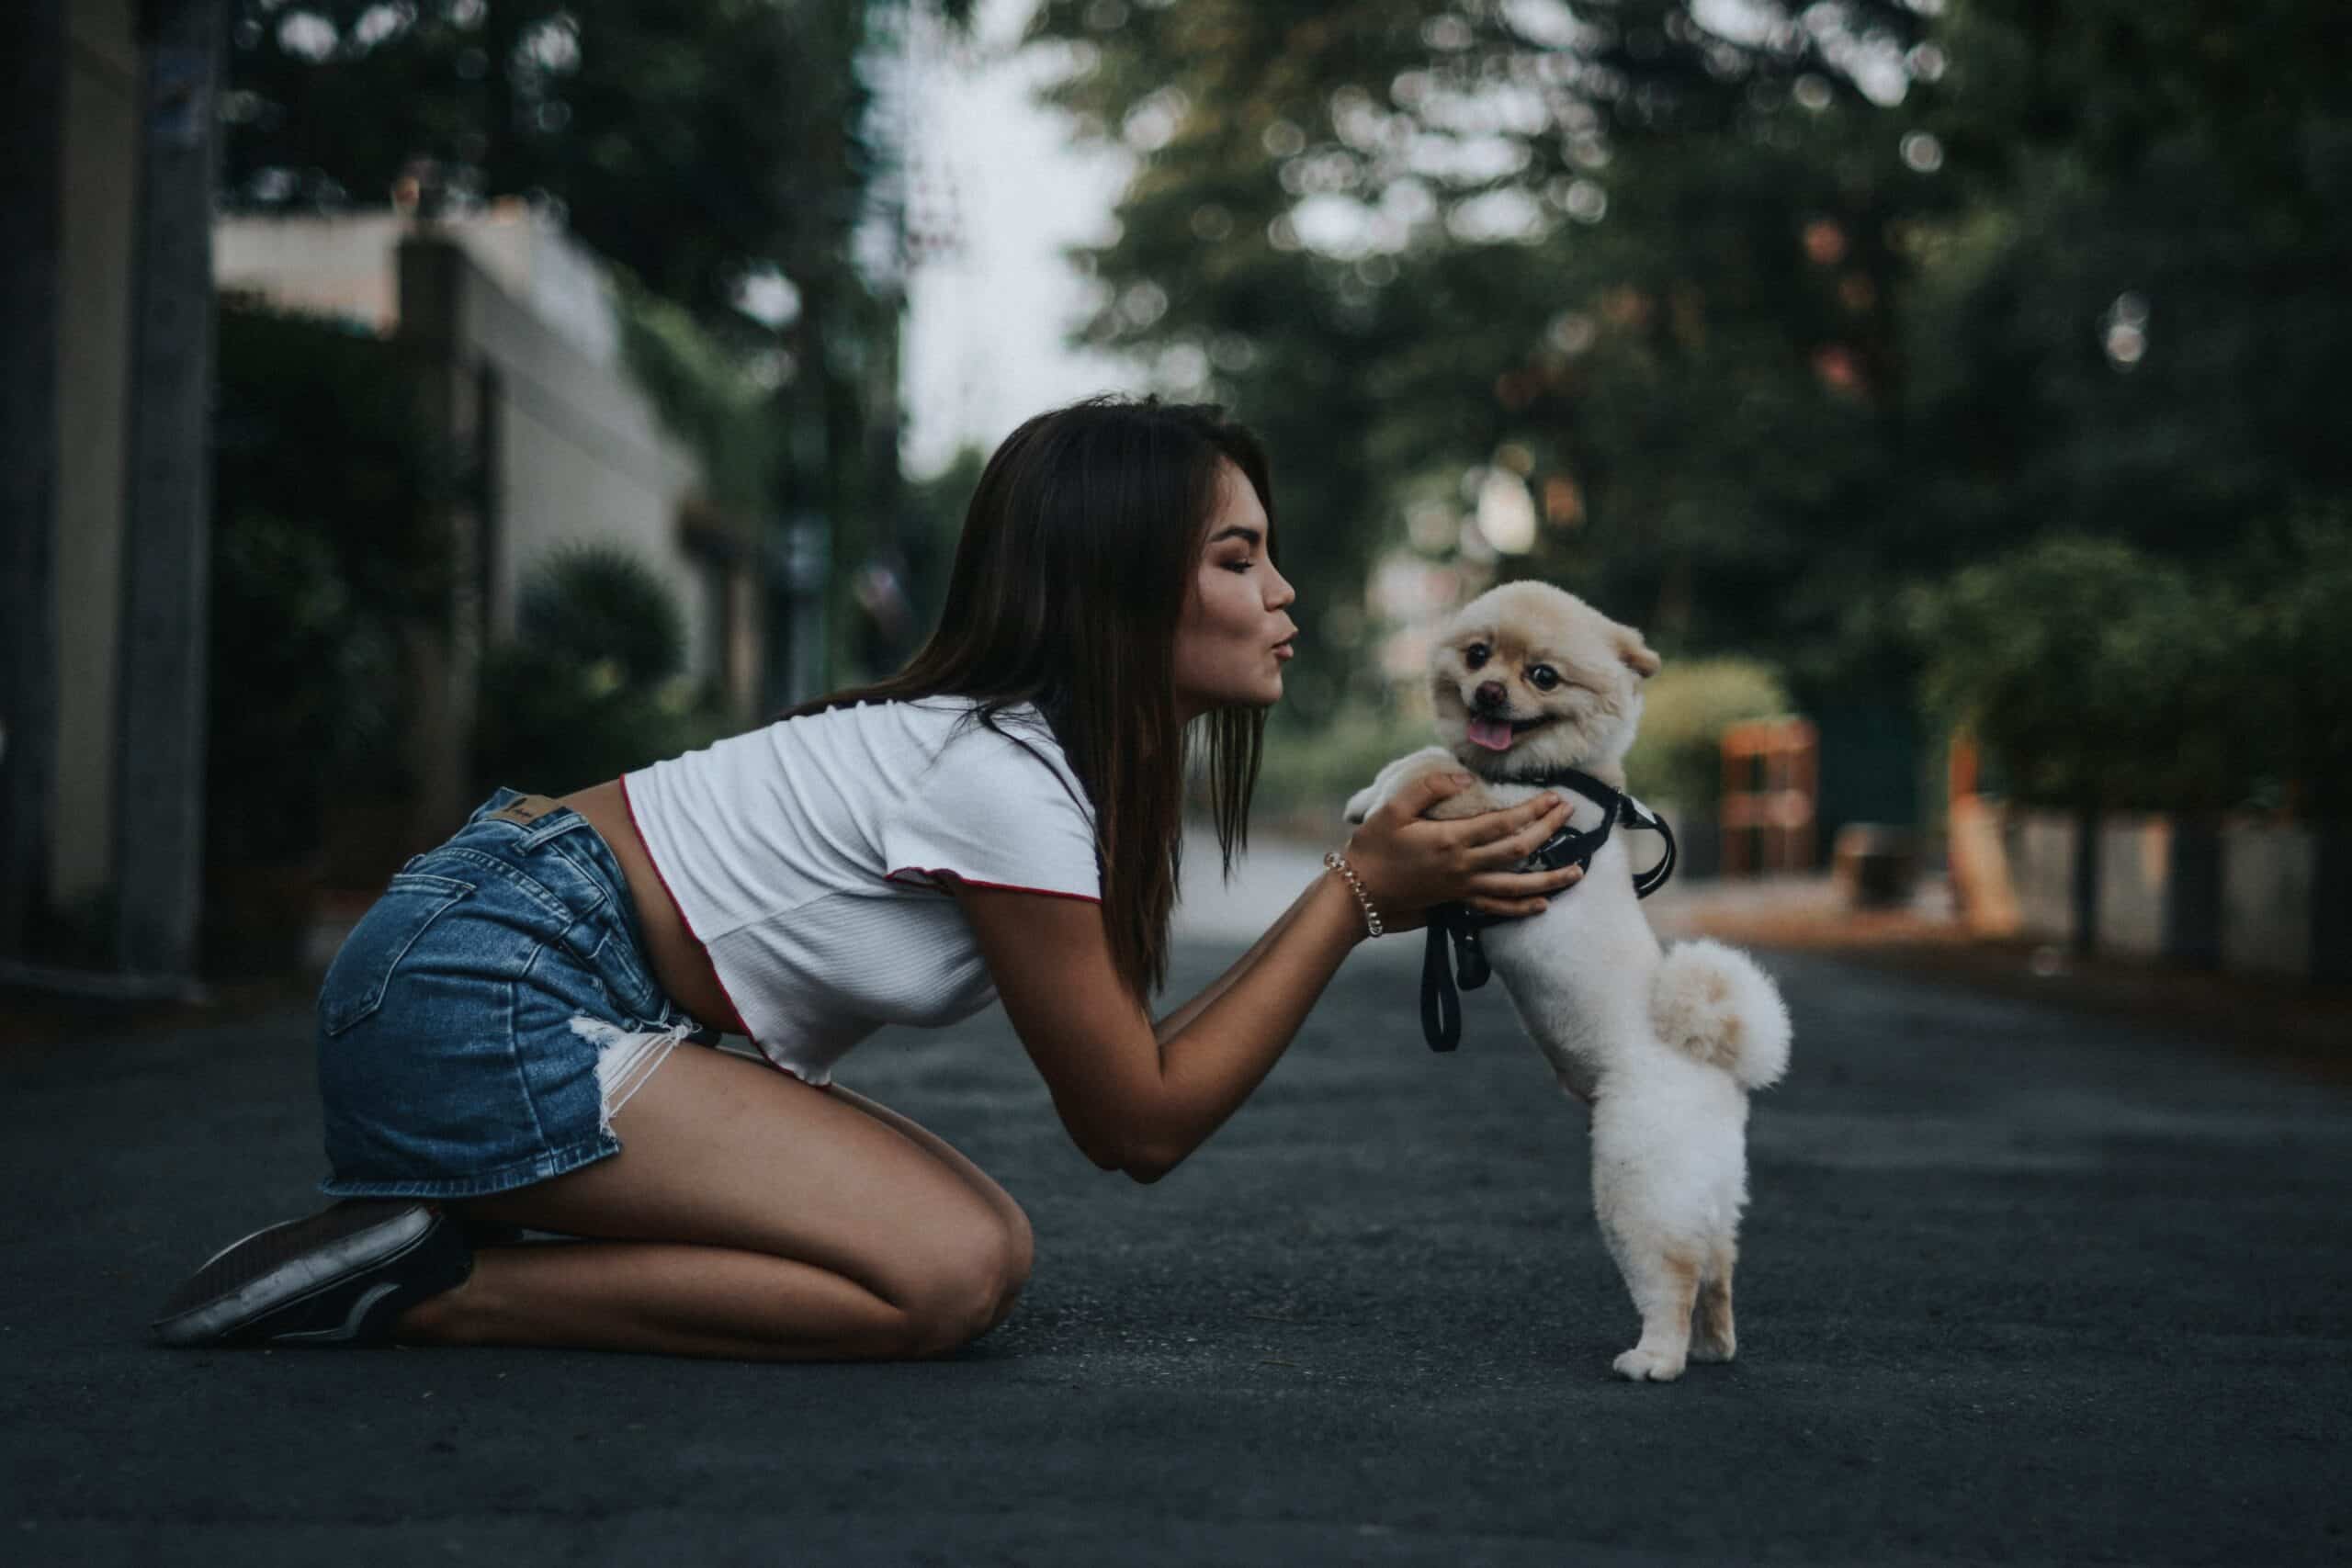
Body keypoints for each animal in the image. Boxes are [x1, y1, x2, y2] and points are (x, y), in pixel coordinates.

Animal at [1354, 582, 1787, 1382]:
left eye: (1544, 677)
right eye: (1478, 654)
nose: (1491, 692)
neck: (1550, 772)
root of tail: (1713, 1064)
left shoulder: (1513, 818)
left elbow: (1439, 765)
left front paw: (1378, 796)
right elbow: (1430, 756)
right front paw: (1374, 788)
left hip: (1635, 1185)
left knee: (1673, 1273)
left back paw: (1657, 1357)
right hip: (1706, 1193)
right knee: (1718, 1264)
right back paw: (1713, 1344)